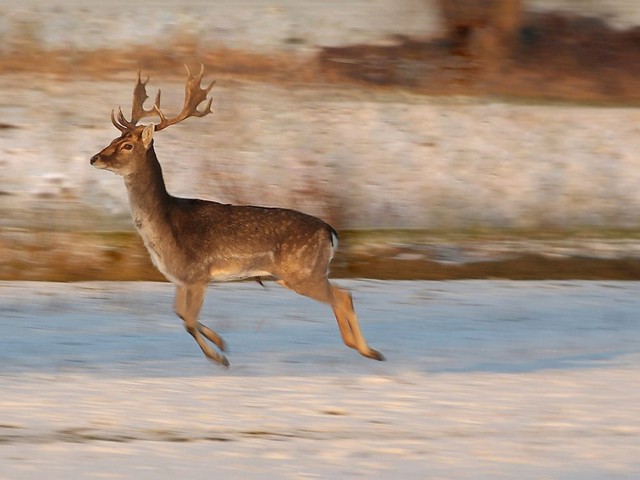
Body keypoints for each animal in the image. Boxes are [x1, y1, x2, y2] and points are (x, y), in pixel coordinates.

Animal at [89, 65, 380, 368]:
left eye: (127, 146)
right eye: (113, 139)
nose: (94, 158)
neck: (164, 227)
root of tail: (330, 231)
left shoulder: (197, 274)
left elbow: (188, 320)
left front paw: (219, 357)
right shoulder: (181, 278)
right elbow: (180, 313)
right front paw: (221, 342)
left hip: (304, 271)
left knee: (343, 297)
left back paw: (369, 351)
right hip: (295, 275)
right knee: (341, 296)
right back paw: (358, 346)